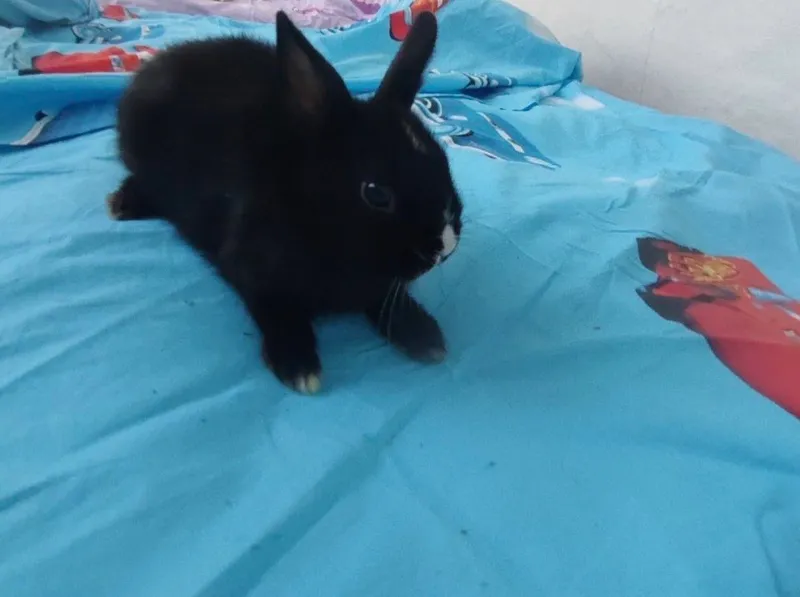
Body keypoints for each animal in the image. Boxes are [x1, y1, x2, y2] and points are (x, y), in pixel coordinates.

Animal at [108, 10, 463, 394]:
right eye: (376, 194)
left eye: (443, 161)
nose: (445, 248)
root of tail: (161, 61)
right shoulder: (253, 274)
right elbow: (277, 312)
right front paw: (299, 367)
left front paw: (424, 337)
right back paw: (122, 204)